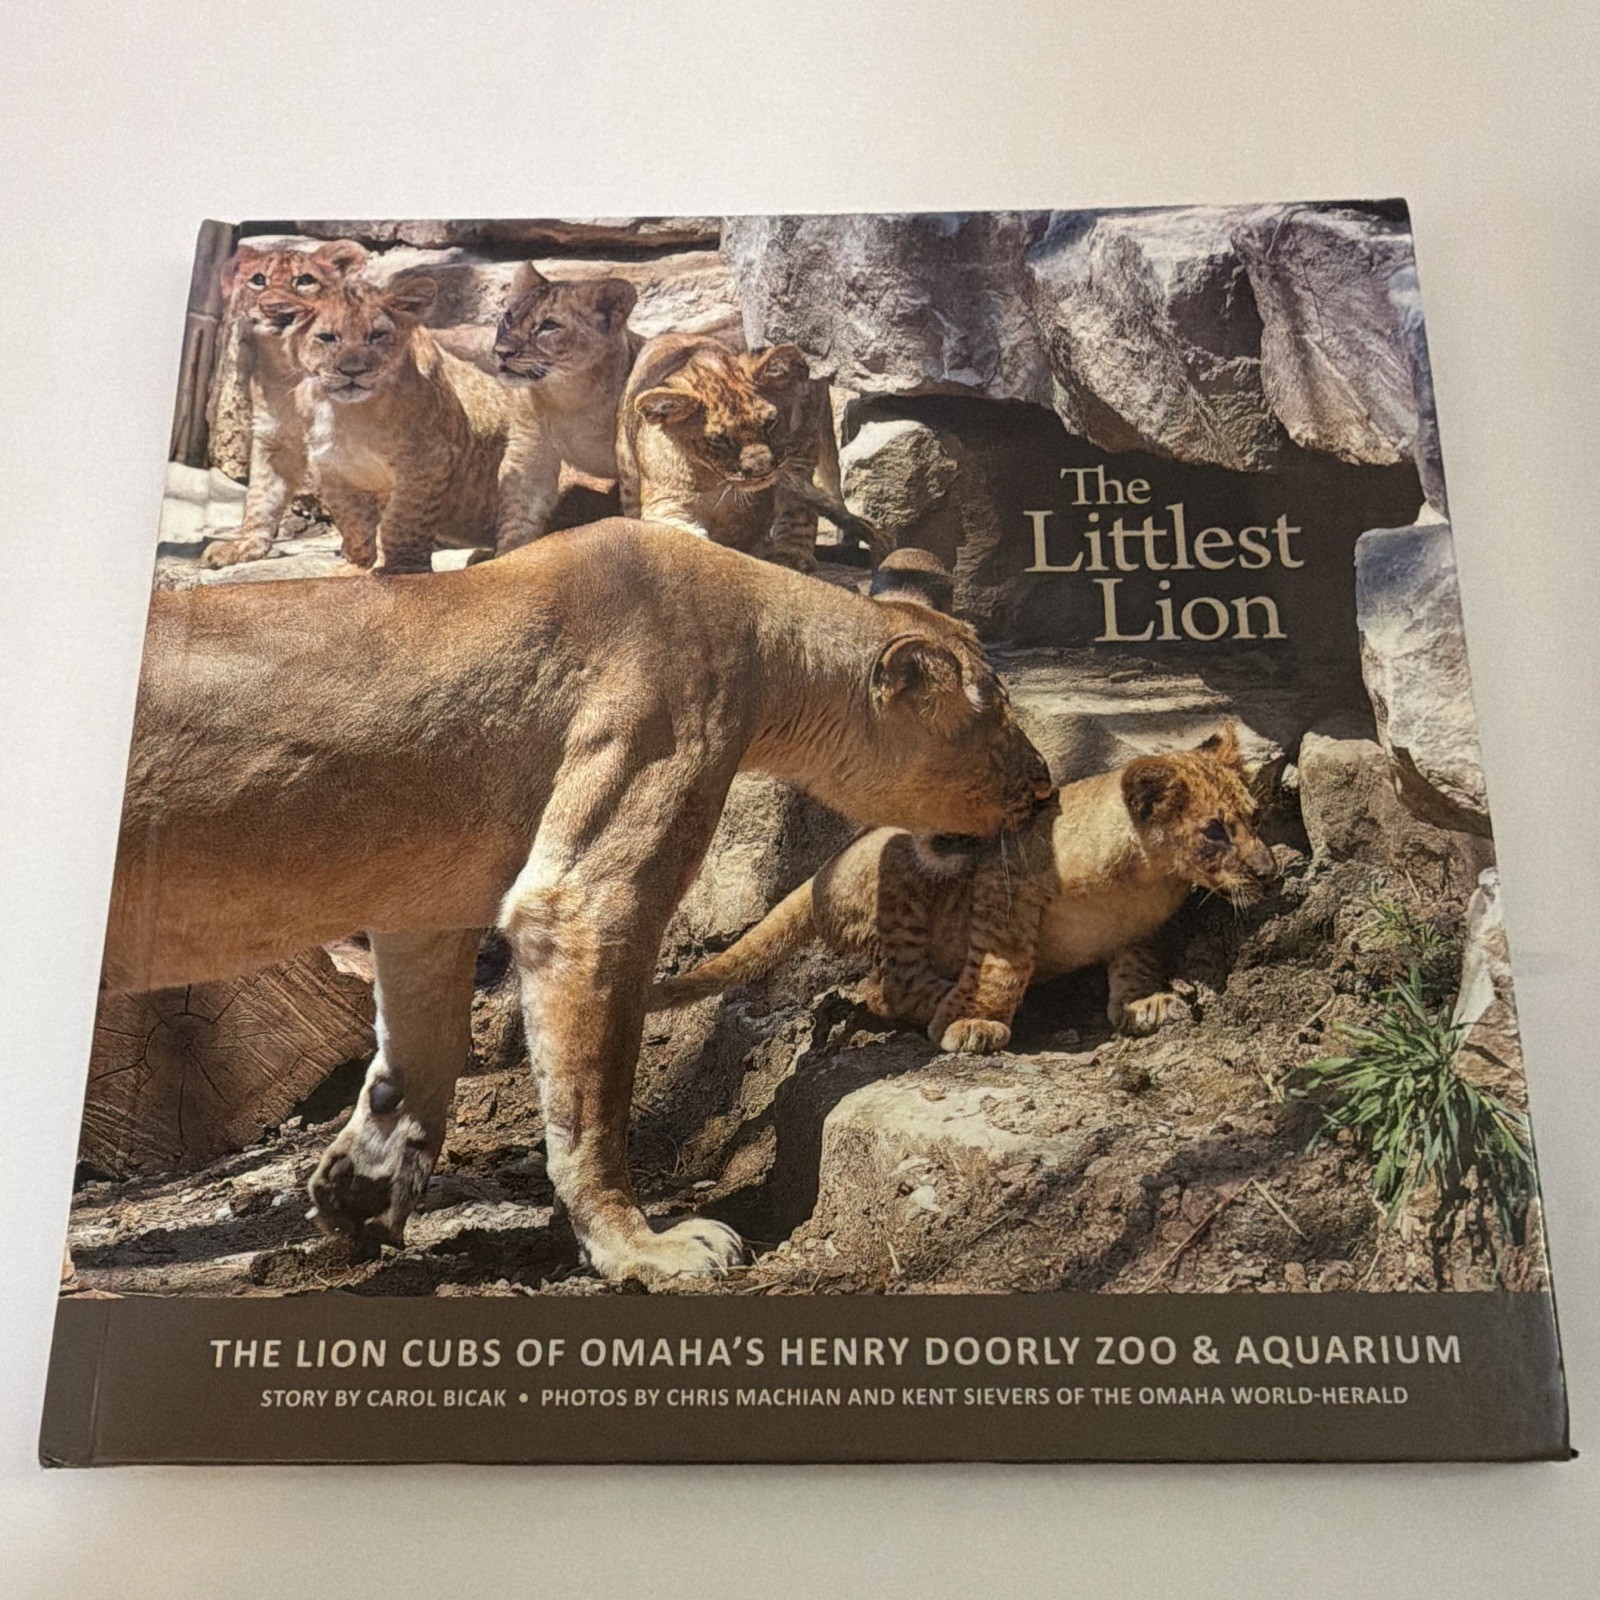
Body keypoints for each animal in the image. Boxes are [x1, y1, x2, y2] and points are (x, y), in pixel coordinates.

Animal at [103, 521, 1052, 1280]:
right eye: (999, 718)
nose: (1045, 787)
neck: (769, 643)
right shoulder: (588, 898)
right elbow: (593, 1103)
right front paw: (643, 1249)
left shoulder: (425, 910)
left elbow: (422, 1060)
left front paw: (357, 1195)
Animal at [200, 239, 367, 569]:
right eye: (258, 280)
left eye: (304, 280)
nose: (276, 309)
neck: (290, 369)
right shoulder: (273, 440)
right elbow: (260, 498)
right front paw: (244, 546)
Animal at [616, 331, 886, 570]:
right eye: (718, 439)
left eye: (770, 422)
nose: (761, 468)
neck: (714, 483)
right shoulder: (667, 504)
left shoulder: (794, 466)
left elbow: (796, 511)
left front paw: (790, 557)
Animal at [652, 726, 1278, 1053]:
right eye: (1215, 832)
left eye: (1256, 818)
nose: (1270, 870)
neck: (1146, 875)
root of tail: (821, 872)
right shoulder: (1004, 882)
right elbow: (1002, 964)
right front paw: (975, 1021)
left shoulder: (1143, 926)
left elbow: (1136, 963)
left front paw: (1144, 1003)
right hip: (909, 862)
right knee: (889, 986)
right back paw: (943, 999)